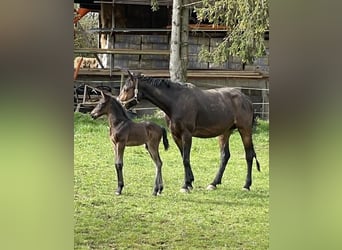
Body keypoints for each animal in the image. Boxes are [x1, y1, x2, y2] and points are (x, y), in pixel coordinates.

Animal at [119, 71, 260, 192]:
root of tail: (247, 100)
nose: (120, 102)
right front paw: (190, 182)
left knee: (249, 155)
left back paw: (246, 185)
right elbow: (184, 157)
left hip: (245, 130)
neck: (175, 101)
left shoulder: (186, 134)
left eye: (126, 89)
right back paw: (213, 183)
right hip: (224, 132)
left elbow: (186, 159)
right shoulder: (176, 135)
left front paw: (185, 185)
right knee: (225, 156)